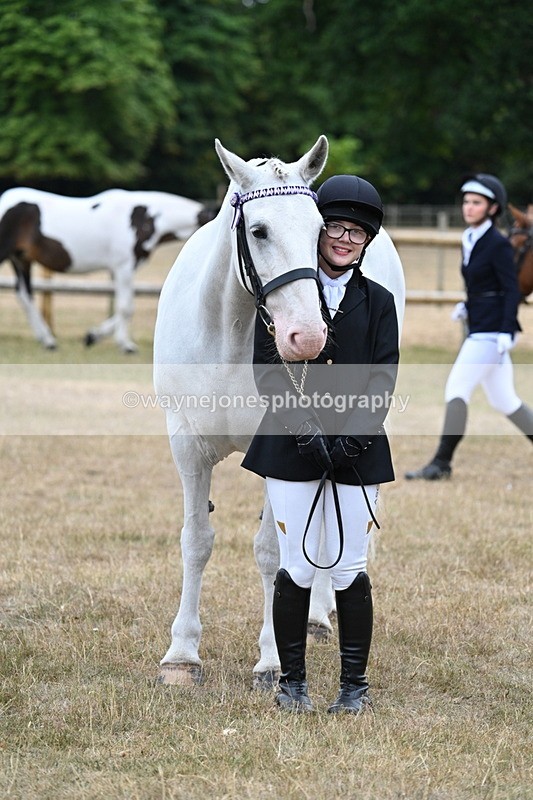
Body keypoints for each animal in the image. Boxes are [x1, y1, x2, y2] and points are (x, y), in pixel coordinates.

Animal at [0, 187, 207, 352]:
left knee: (25, 296)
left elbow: (124, 307)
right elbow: (126, 307)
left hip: (21, 260)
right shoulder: (124, 267)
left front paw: (92, 336)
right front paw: (125, 344)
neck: (143, 217)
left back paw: (48, 340)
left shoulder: (117, 270)